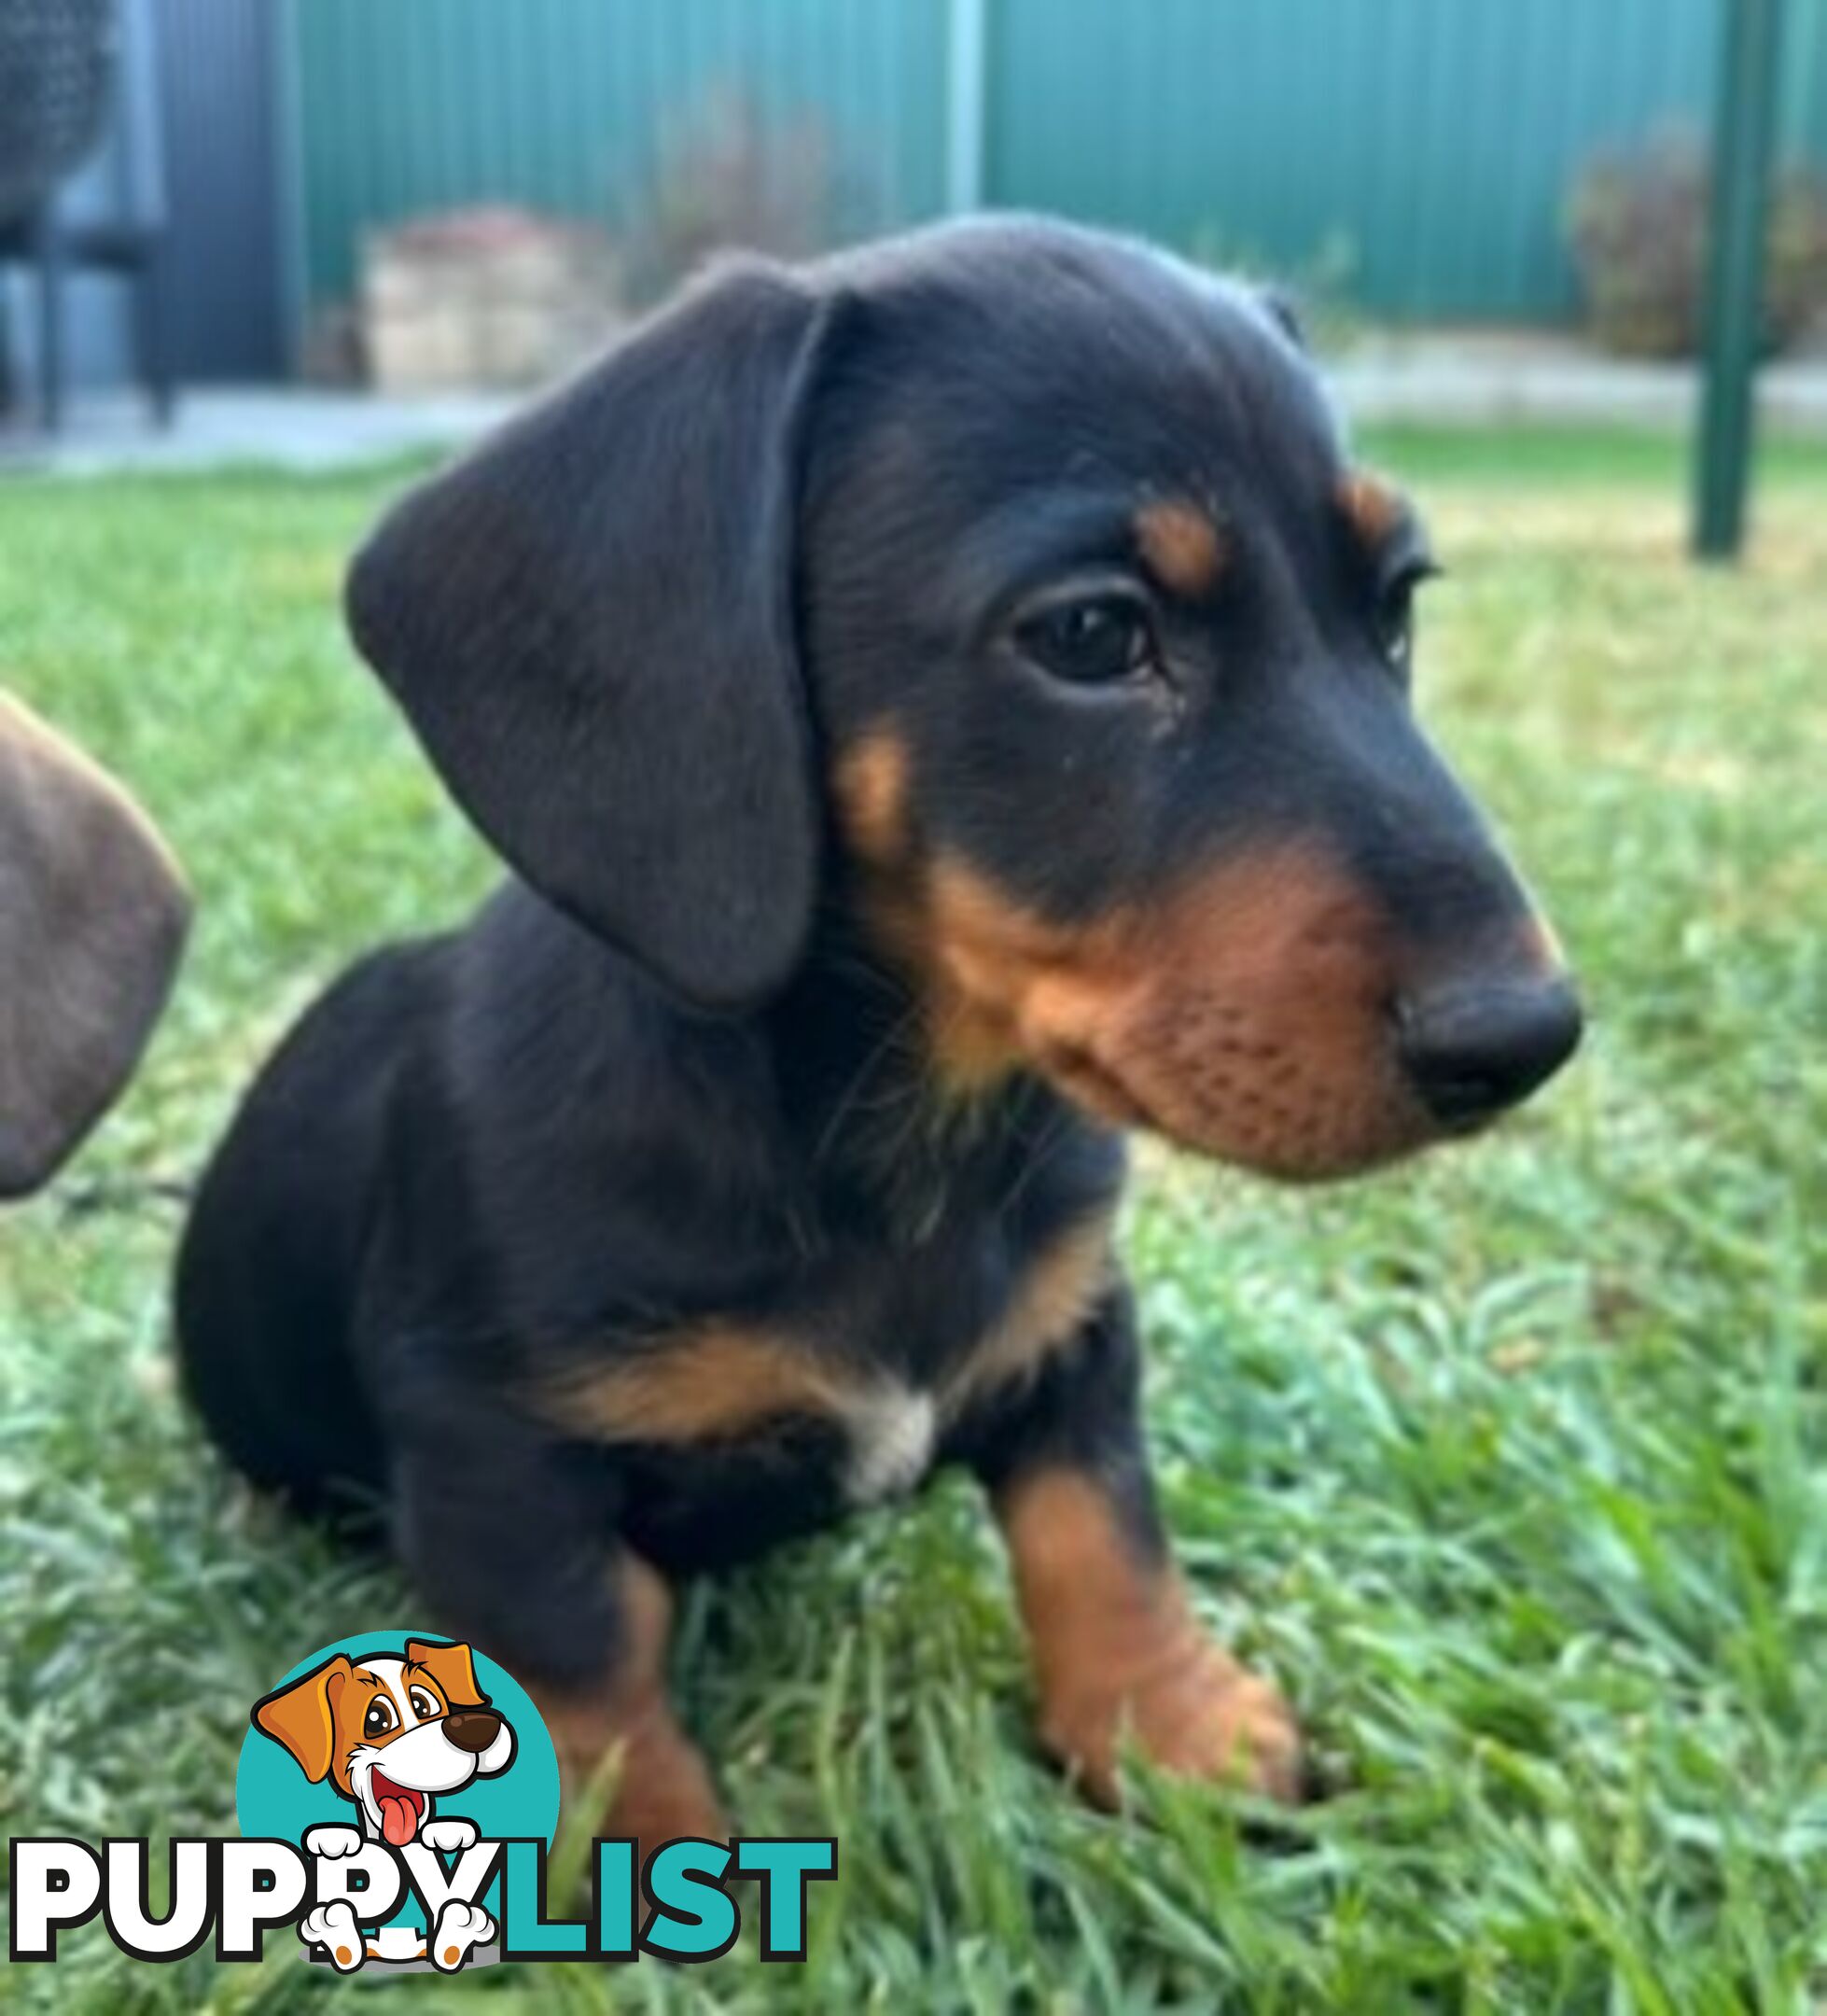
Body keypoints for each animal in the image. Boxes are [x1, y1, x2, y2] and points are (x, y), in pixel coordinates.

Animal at [178, 220, 1572, 1855]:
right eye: (1092, 634)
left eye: (1396, 605)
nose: (1527, 1033)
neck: (897, 1137)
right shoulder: (493, 1454)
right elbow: (584, 1675)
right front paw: (646, 1859)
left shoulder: (1076, 1327)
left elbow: (1104, 1529)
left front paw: (1171, 1728)